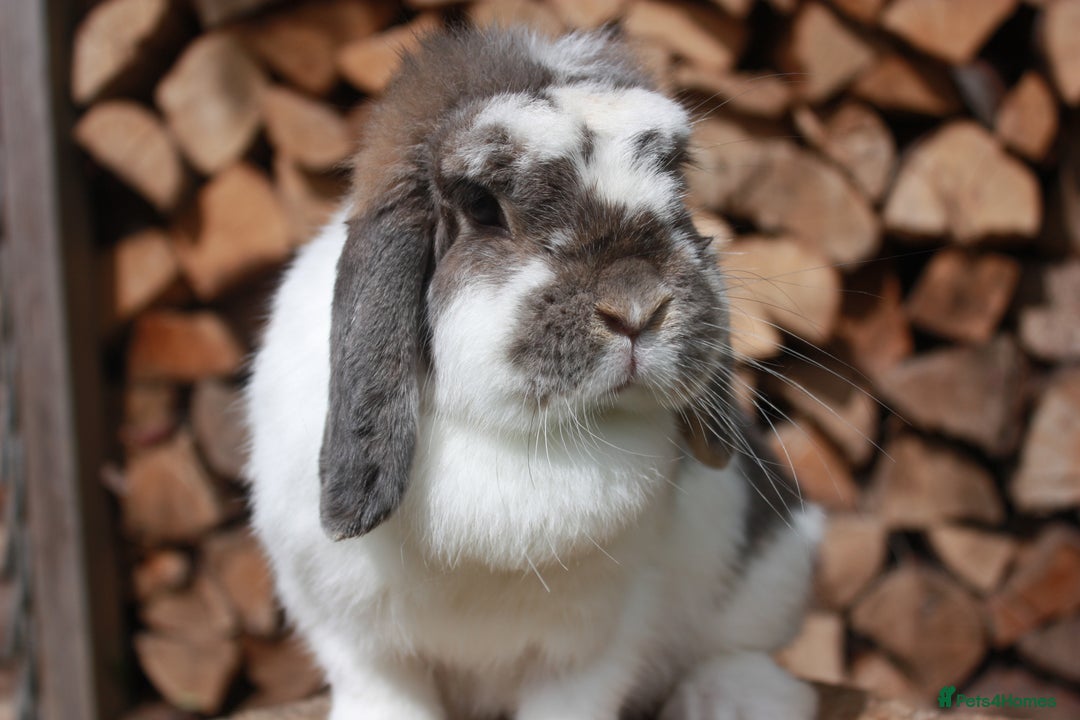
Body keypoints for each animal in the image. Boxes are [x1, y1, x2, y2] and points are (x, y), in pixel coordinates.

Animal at [246, 24, 823, 720]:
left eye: (677, 181)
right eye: (481, 205)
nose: (637, 307)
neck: (522, 442)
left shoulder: (593, 648)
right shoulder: (349, 632)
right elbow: (382, 693)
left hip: (775, 569)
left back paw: (728, 698)